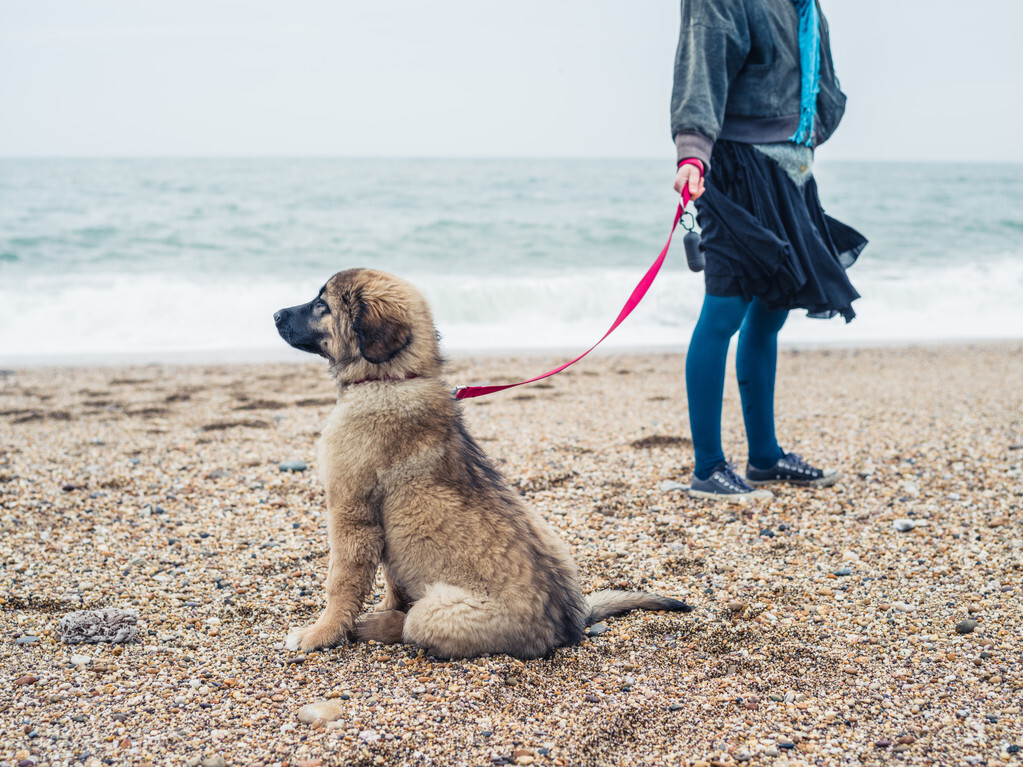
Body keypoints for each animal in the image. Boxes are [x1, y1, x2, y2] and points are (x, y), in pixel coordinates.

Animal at [272, 269, 691, 662]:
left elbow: (341, 583)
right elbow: (392, 580)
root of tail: (569, 624)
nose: (274, 314)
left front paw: (320, 634)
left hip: (438, 611)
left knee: (411, 624)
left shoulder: (351, 513)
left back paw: (375, 626)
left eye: (321, 305)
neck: (393, 378)